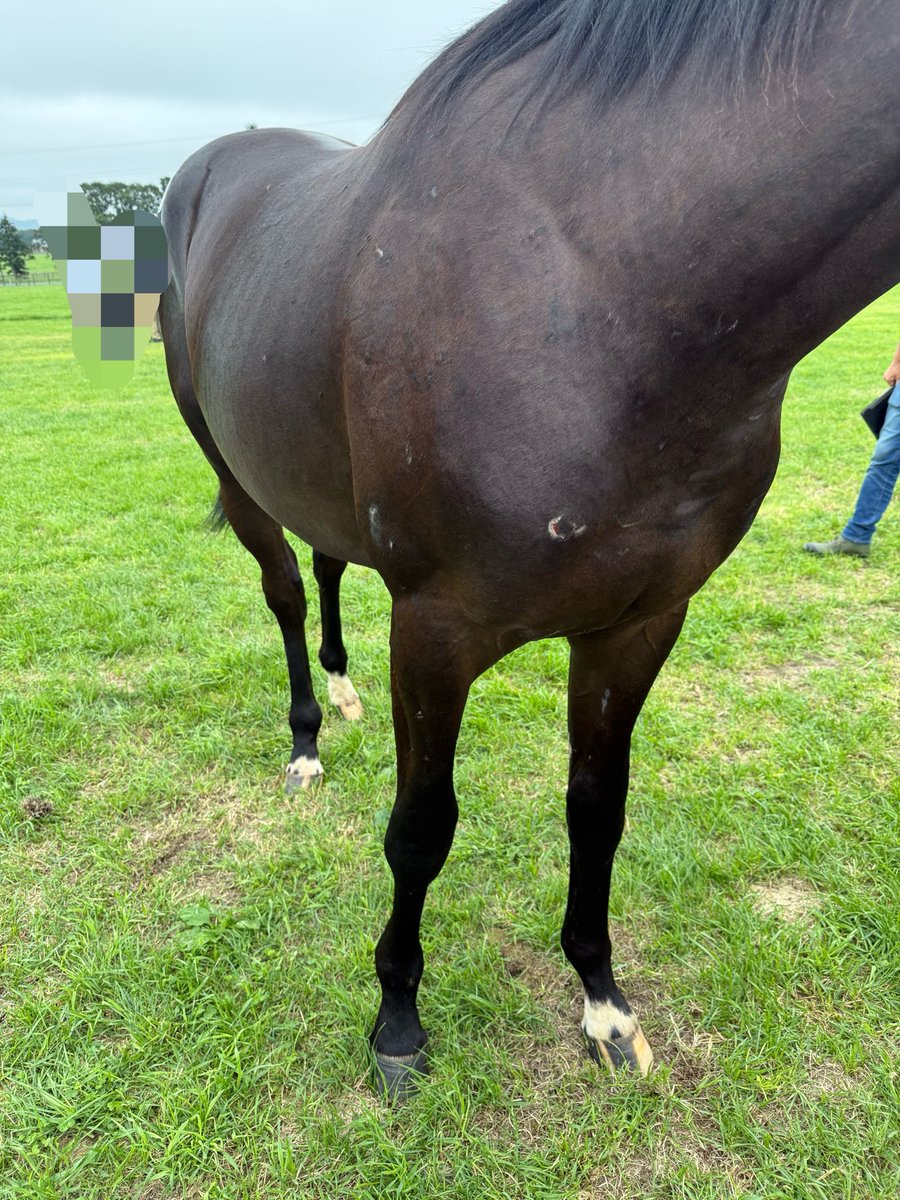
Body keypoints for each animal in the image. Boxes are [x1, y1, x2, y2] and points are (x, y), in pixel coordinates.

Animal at [159, 0, 900, 1098]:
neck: (600, 291)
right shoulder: (435, 630)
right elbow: (420, 831)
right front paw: (397, 1020)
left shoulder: (640, 623)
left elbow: (598, 809)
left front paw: (604, 1001)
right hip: (237, 474)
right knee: (287, 590)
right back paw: (305, 740)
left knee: (327, 565)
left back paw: (339, 691)